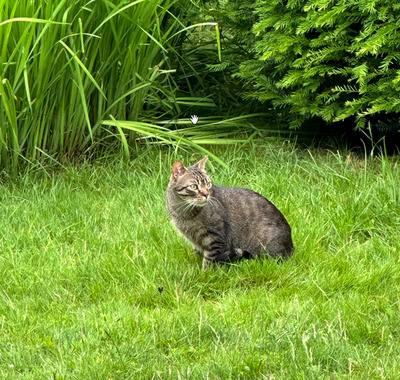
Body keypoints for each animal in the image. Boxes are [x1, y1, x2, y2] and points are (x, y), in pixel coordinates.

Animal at [166, 156, 294, 268]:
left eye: (208, 184)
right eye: (194, 186)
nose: (206, 194)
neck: (183, 211)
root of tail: (291, 248)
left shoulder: (215, 240)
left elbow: (209, 262)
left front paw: (204, 275)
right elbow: (197, 251)